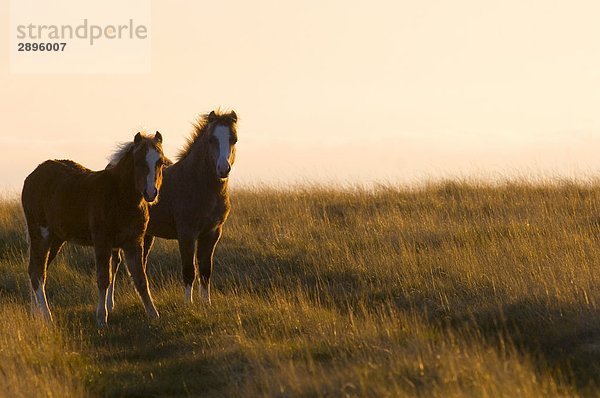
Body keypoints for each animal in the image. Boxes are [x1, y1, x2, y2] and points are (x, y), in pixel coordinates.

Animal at [21, 132, 166, 324]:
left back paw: (35, 314)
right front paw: (101, 317)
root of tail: (30, 178)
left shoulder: (133, 242)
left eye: (160, 162)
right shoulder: (102, 241)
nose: (150, 193)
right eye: (138, 161)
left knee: (34, 270)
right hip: (41, 233)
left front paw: (153, 314)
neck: (120, 196)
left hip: (56, 238)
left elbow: (140, 279)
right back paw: (46, 316)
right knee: (38, 273)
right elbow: (104, 278)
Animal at [111, 110, 238, 304]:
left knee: (140, 264)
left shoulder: (212, 233)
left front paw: (206, 304)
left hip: (146, 234)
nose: (223, 169)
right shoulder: (186, 233)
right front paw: (189, 304)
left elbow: (205, 271)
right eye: (211, 139)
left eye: (234, 139)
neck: (197, 184)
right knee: (115, 264)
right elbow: (189, 270)